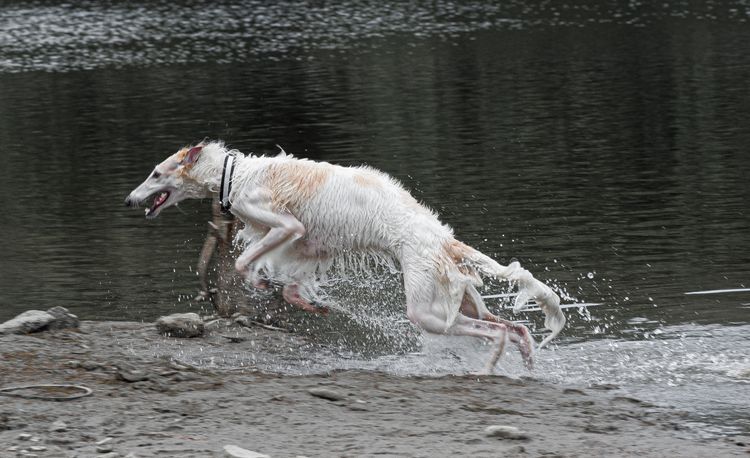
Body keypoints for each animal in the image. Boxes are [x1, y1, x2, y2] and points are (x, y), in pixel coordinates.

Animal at [128, 140, 564, 372]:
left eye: (155, 174)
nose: (129, 200)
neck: (232, 174)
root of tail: (444, 240)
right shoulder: (306, 242)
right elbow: (288, 279)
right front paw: (300, 298)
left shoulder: (286, 225)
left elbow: (242, 261)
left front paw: (259, 281)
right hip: (460, 300)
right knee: (514, 327)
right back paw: (525, 364)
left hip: (426, 310)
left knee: (496, 332)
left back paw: (492, 365)